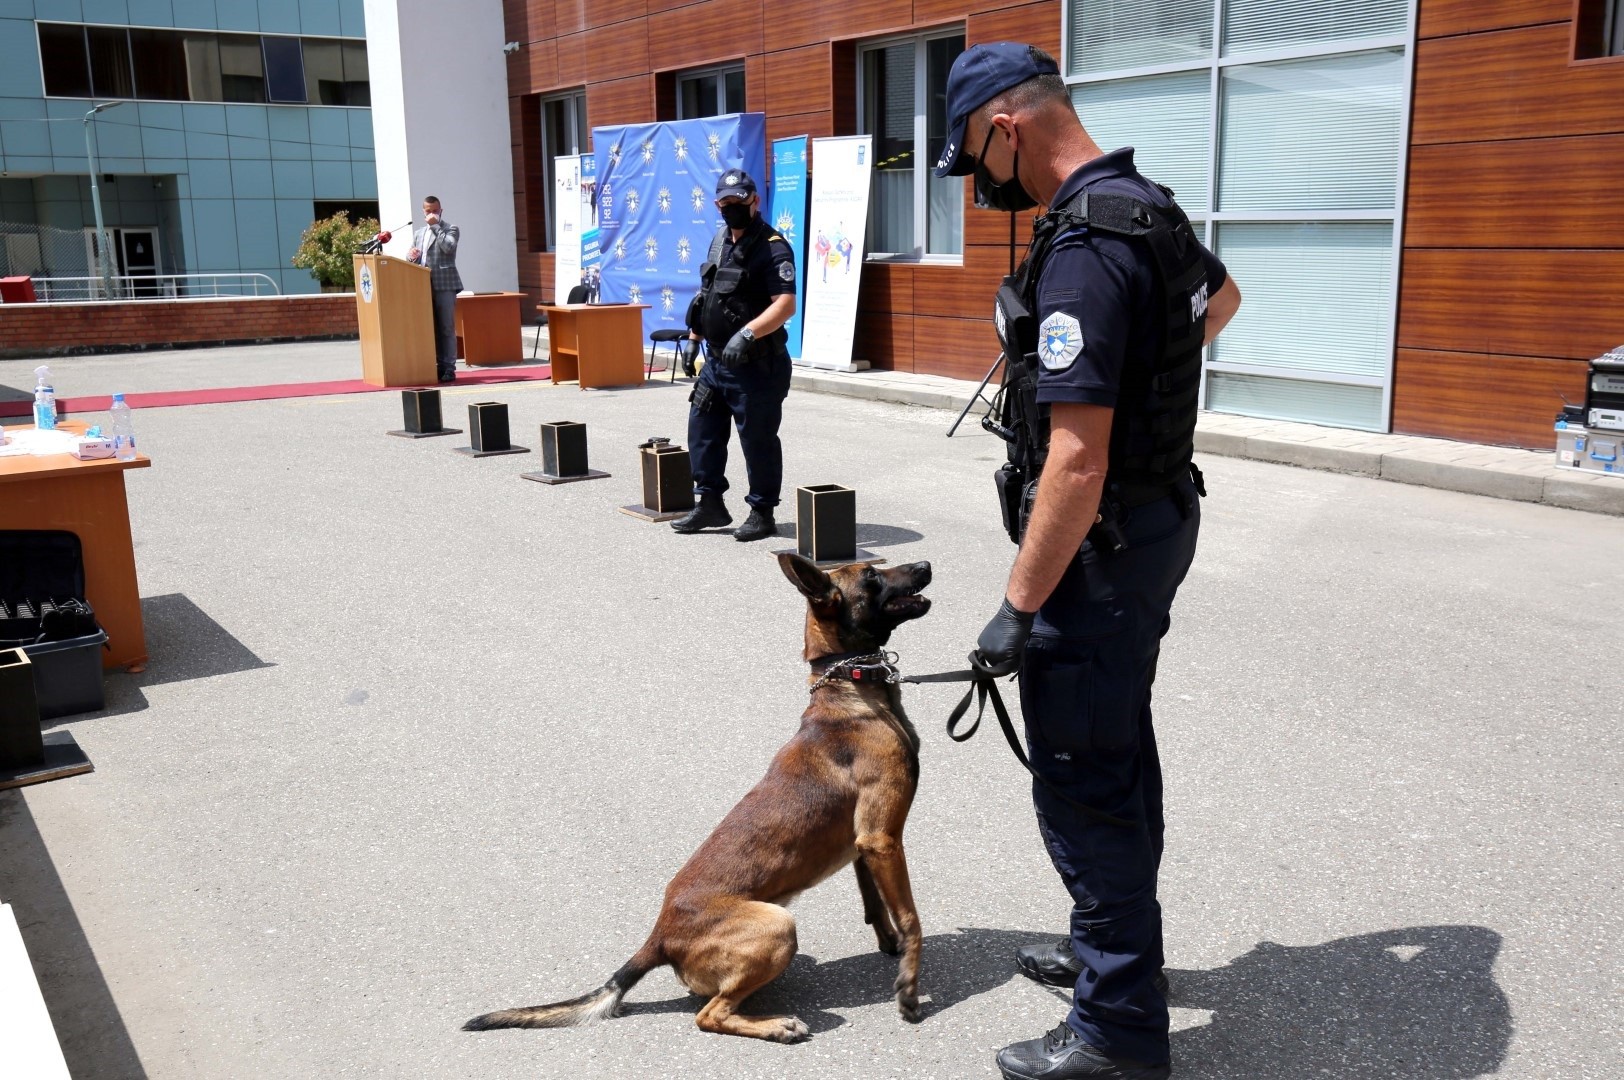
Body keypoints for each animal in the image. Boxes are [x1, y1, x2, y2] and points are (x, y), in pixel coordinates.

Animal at [464, 552, 935, 1039]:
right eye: (872, 575)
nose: (924, 564)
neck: (849, 686)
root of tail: (658, 938)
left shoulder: (863, 845)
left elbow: (877, 905)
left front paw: (889, 947)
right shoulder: (882, 840)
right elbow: (912, 919)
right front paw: (908, 989)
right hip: (779, 925)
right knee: (709, 1015)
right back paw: (776, 1025)